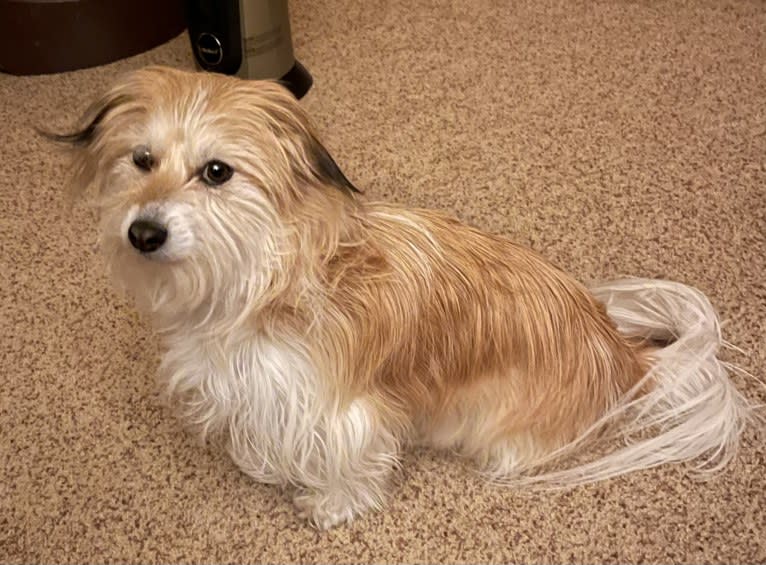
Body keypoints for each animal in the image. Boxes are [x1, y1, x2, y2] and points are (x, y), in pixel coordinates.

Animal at [46, 66, 756, 528]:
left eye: (216, 172)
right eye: (141, 160)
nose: (142, 232)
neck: (267, 280)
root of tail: (627, 357)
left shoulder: (342, 409)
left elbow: (348, 463)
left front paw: (330, 506)